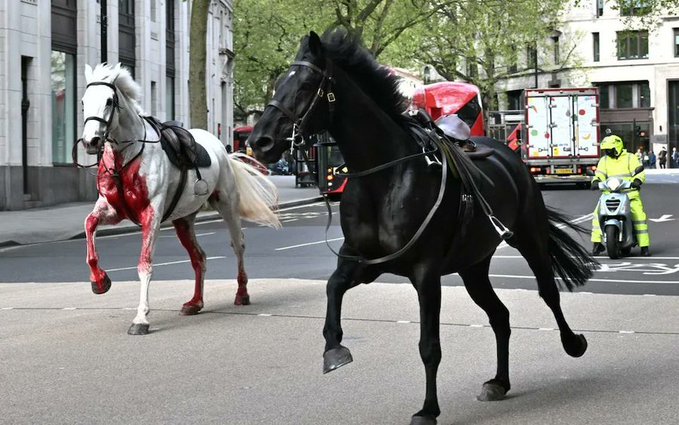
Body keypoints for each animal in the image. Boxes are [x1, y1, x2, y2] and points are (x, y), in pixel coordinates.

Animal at [80, 63, 282, 334]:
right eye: (83, 101)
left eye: (109, 101)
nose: (90, 141)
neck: (127, 157)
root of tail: (223, 150)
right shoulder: (112, 210)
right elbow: (89, 226)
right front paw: (100, 281)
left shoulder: (151, 214)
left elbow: (145, 264)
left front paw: (141, 318)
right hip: (183, 220)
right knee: (199, 257)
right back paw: (195, 302)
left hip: (227, 205)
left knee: (238, 244)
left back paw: (241, 293)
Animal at [248, 29, 596, 424]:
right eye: (279, 82)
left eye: (306, 85)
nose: (259, 141)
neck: (383, 178)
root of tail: (508, 154)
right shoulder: (364, 263)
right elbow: (333, 288)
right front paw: (334, 349)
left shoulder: (425, 272)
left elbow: (429, 345)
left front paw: (428, 409)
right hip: (473, 265)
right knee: (500, 316)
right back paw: (499, 382)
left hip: (529, 236)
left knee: (548, 292)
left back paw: (573, 343)